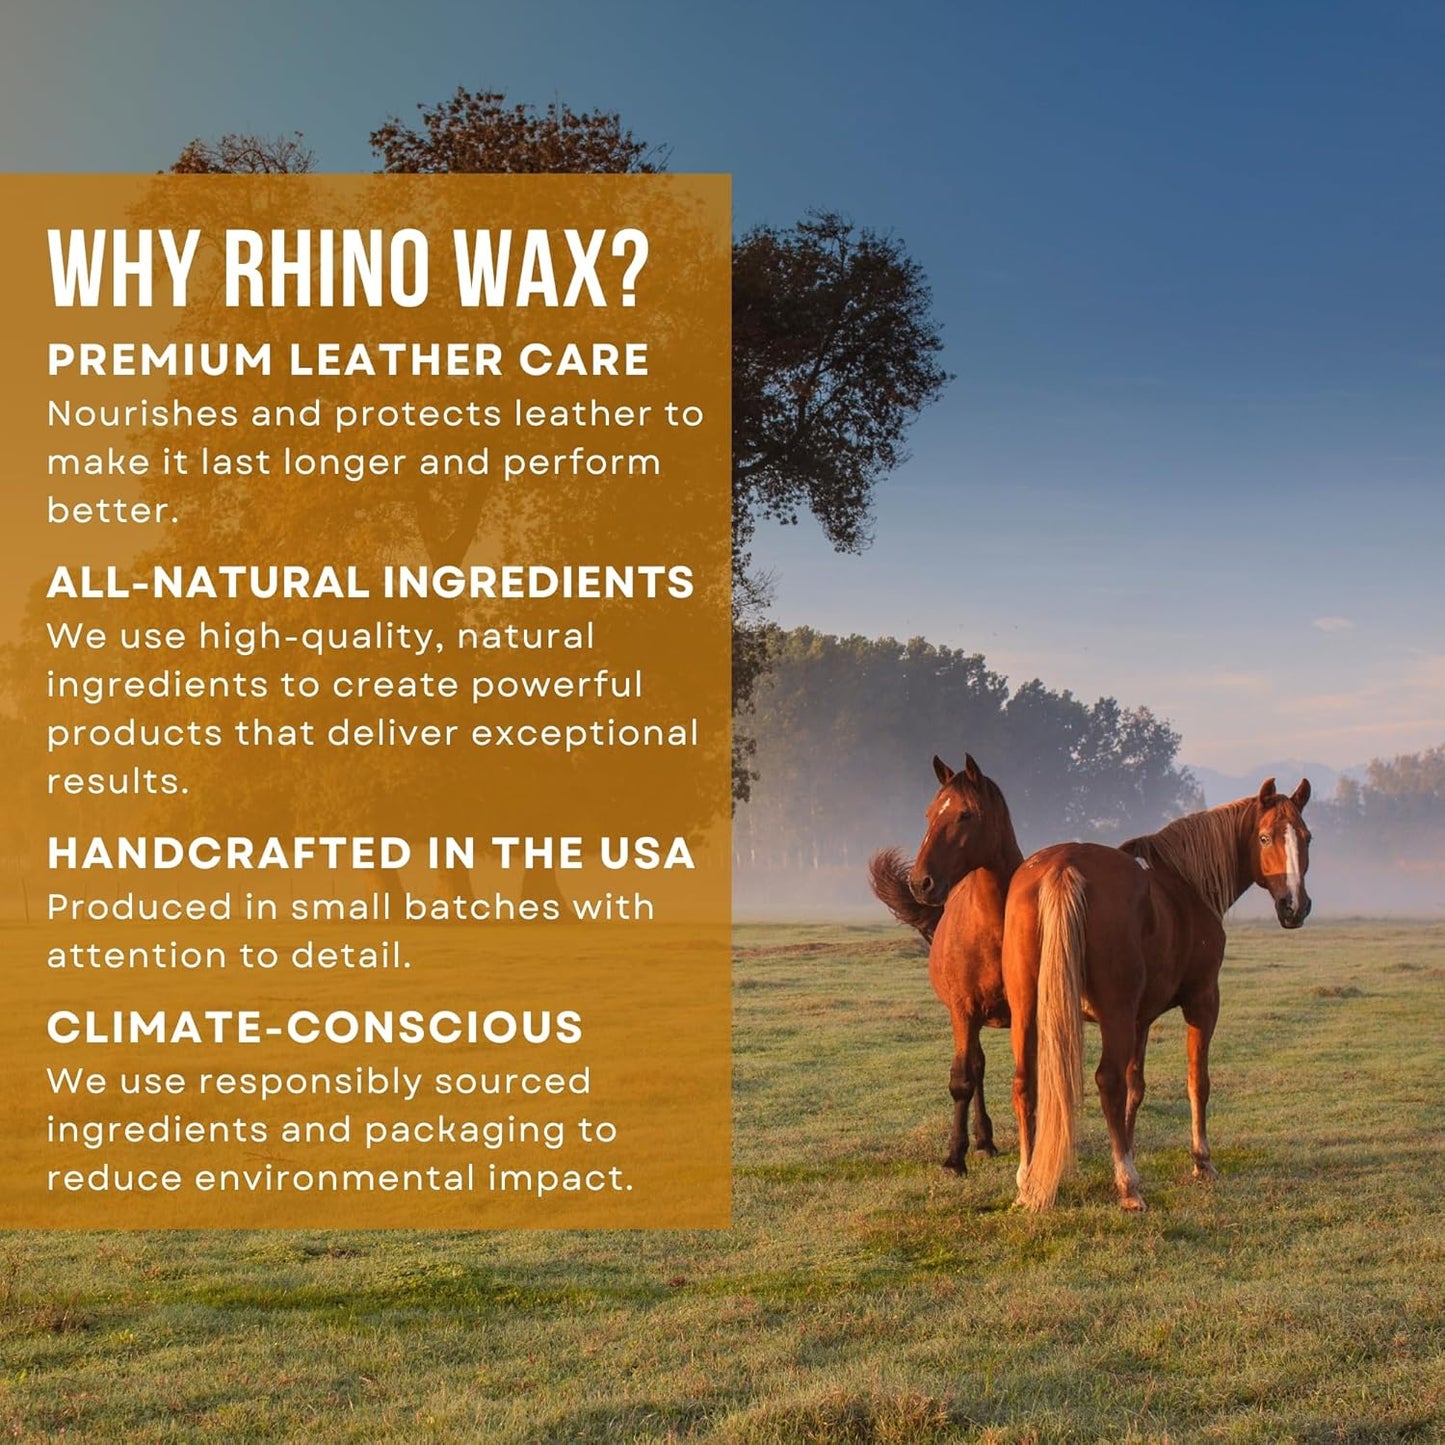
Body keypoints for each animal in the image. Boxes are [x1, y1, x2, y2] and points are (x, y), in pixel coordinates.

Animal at [869, 753, 1024, 1173]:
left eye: (965, 814)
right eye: (928, 813)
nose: (919, 883)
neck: (995, 925)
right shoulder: (963, 1009)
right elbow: (961, 1080)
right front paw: (955, 1157)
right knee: (976, 1068)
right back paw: (982, 1141)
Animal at [1004, 777, 1313, 1212]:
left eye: (1306, 837)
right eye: (1265, 837)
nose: (1294, 907)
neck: (1187, 885)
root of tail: (1063, 867)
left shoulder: (1140, 1019)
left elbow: (1136, 1088)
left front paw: (1130, 1151)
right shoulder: (1202, 1001)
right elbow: (1197, 1081)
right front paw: (1202, 1162)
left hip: (1027, 1010)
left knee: (1025, 1084)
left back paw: (1027, 1183)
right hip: (1113, 1016)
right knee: (1107, 1081)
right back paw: (1128, 1186)